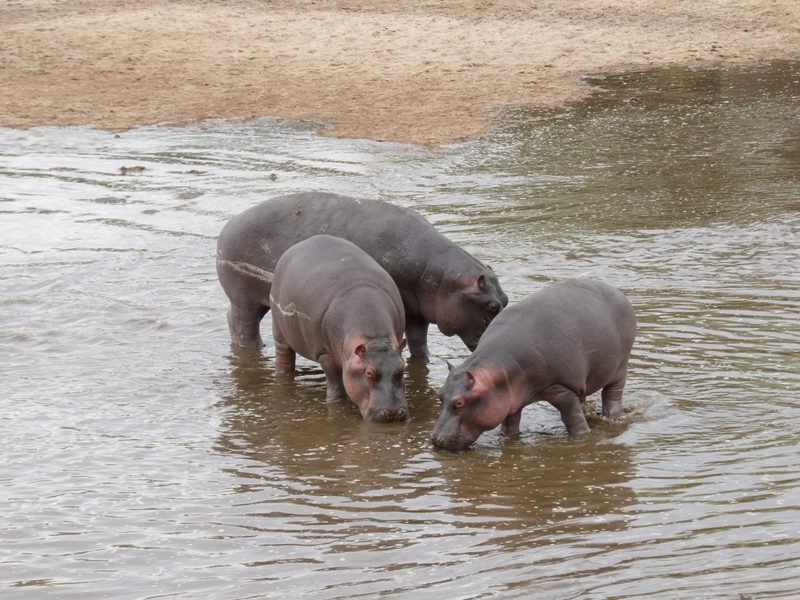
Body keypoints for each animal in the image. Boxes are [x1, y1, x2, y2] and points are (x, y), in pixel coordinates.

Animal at [216, 192, 508, 359]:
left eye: (505, 300)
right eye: (492, 306)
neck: (443, 278)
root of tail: (229, 224)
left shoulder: (417, 312)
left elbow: (418, 343)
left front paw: (425, 360)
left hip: (255, 301)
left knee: (232, 319)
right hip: (244, 299)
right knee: (243, 326)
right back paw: (256, 349)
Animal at [270, 235, 408, 422]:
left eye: (402, 369)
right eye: (369, 373)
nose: (393, 413)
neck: (374, 338)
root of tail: (297, 246)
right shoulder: (324, 354)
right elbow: (335, 381)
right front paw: (336, 403)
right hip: (279, 329)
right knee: (284, 357)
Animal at [431, 279, 636, 451]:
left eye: (459, 402)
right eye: (440, 394)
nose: (435, 440)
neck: (497, 375)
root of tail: (617, 291)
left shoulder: (561, 388)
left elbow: (572, 418)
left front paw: (582, 436)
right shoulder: (510, 399)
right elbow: (510, 426)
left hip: (619, 369)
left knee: (612, 396)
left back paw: (612, 417)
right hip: (582, 380)